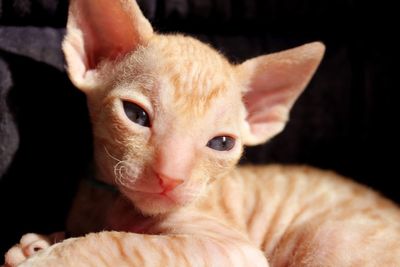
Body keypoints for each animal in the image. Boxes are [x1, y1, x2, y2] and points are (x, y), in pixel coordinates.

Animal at [3, 0, 400, 266]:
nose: (170, 178)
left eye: (221, 143)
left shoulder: (235, 250)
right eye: (135, 114)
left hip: (328, 237)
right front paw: (39, 243)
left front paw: (44, 257)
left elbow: (117, 243)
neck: (109, 202)